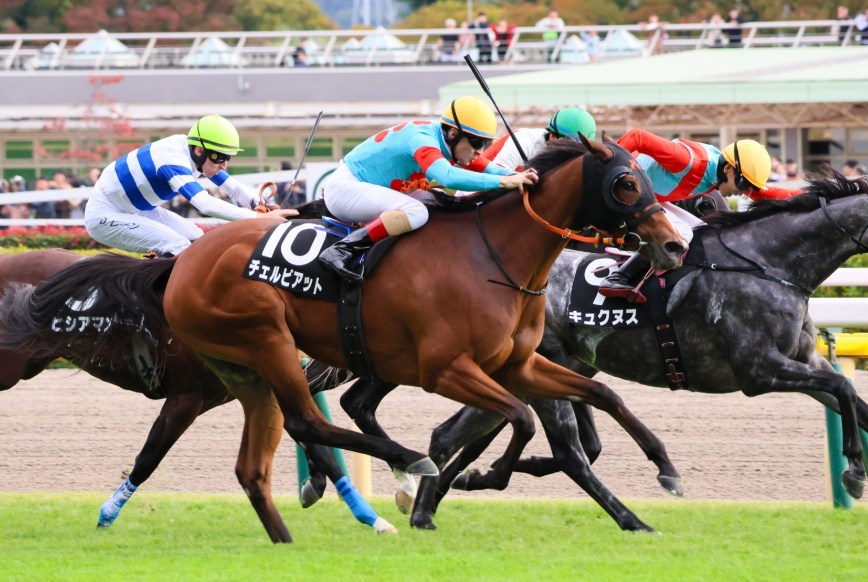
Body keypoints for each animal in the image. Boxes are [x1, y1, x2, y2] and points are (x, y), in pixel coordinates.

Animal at [0, 138, 687, 542]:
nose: (674, 245)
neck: (493, 255)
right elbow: (518, 420)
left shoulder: (515, 363)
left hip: (245, 369)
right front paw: (469, 478)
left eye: (647, 177)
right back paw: (406, 466)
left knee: (276, 446)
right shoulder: (447, 369)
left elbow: (603, 397)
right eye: (627, 182)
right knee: (309, 421)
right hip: (267, 339)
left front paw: (667, 473)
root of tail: (183, 263)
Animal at [331, 169, 868, 527]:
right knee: (530, 443)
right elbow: (843, 388)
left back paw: (434, 496)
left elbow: (850, 397)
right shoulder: (758, 371)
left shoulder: (799, 360)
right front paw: (854, 473)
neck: (766, 262)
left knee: (459, 433)